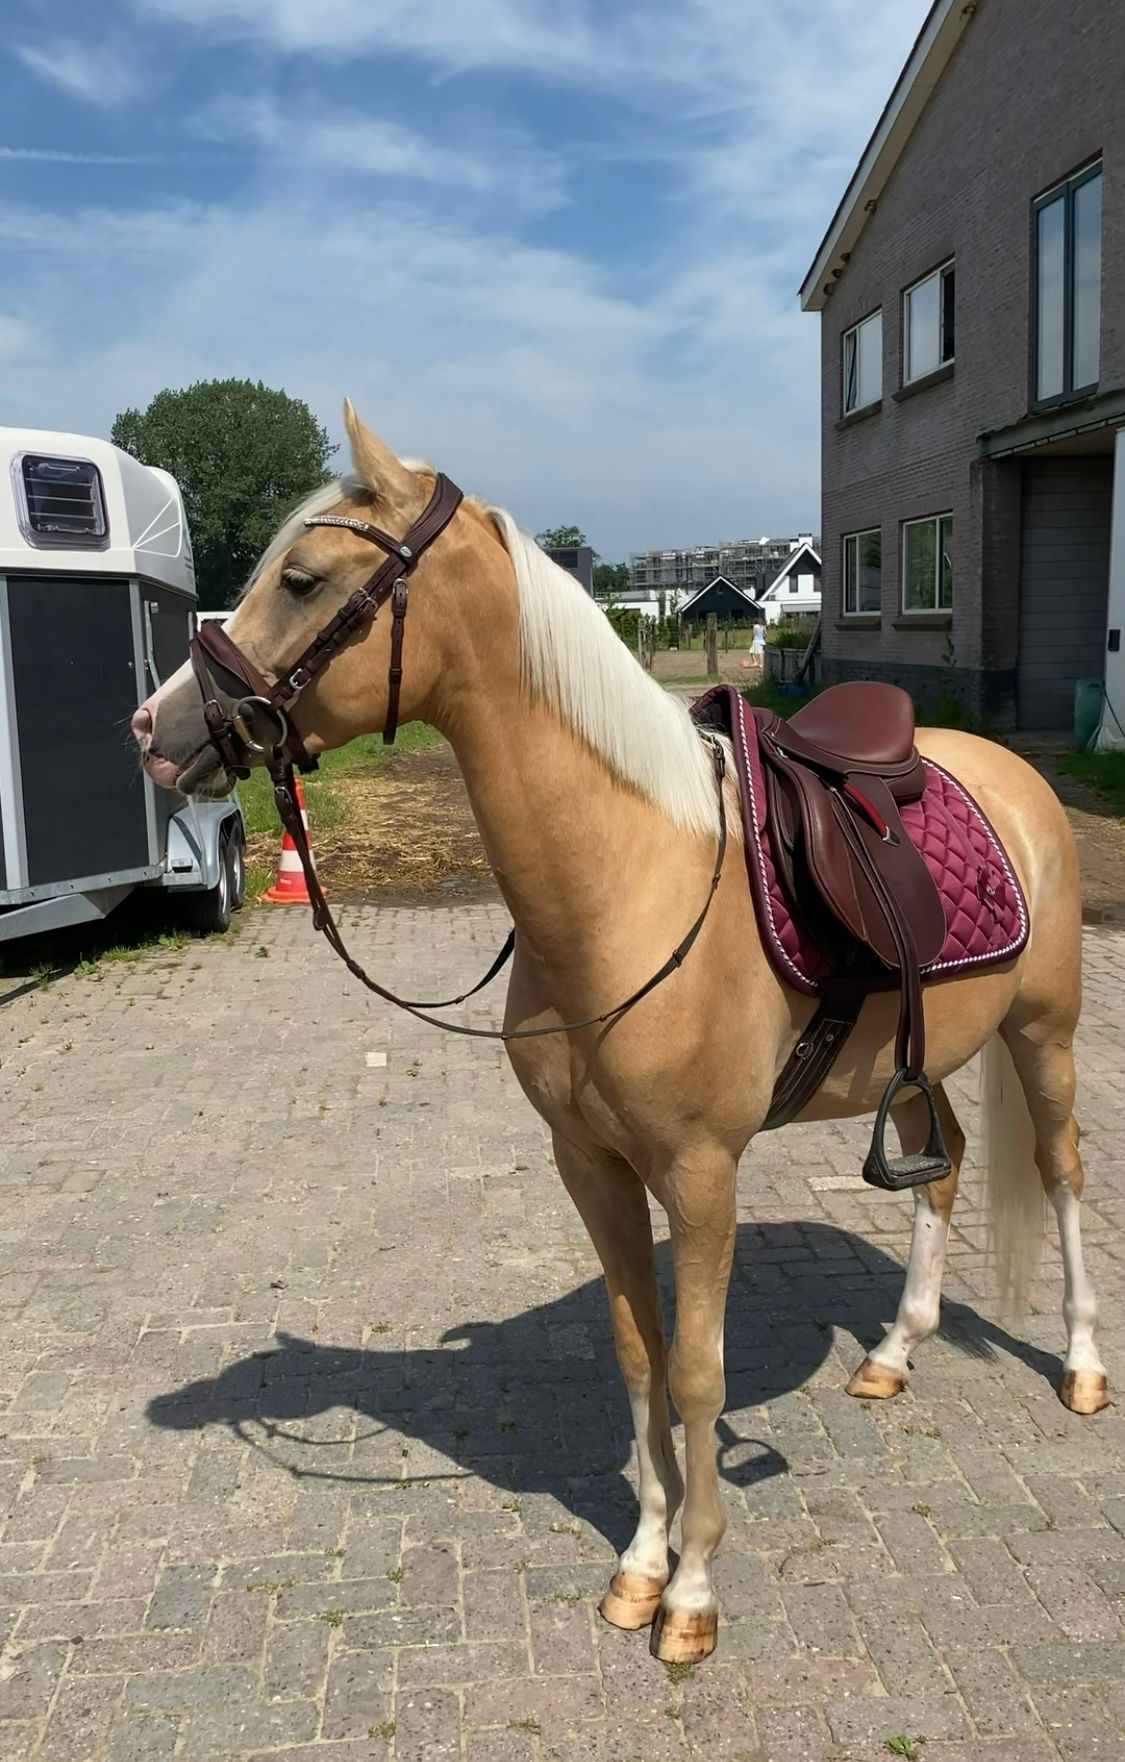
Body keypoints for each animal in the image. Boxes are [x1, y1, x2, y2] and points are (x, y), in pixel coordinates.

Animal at [132, 400, 1107, 1664]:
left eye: (300, 580)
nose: (152, 726)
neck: (629, 884)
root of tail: (1010, 775)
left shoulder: (698, 1174)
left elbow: (696, 1372)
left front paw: (691, 1590)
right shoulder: (589, 1165)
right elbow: (638, 1355)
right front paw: (643, 1563)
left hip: (1044, 1036)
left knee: (1062, 1169)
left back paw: (1081, 1367)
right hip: (924, 1059)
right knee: (938, 1176)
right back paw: (895, 1353)